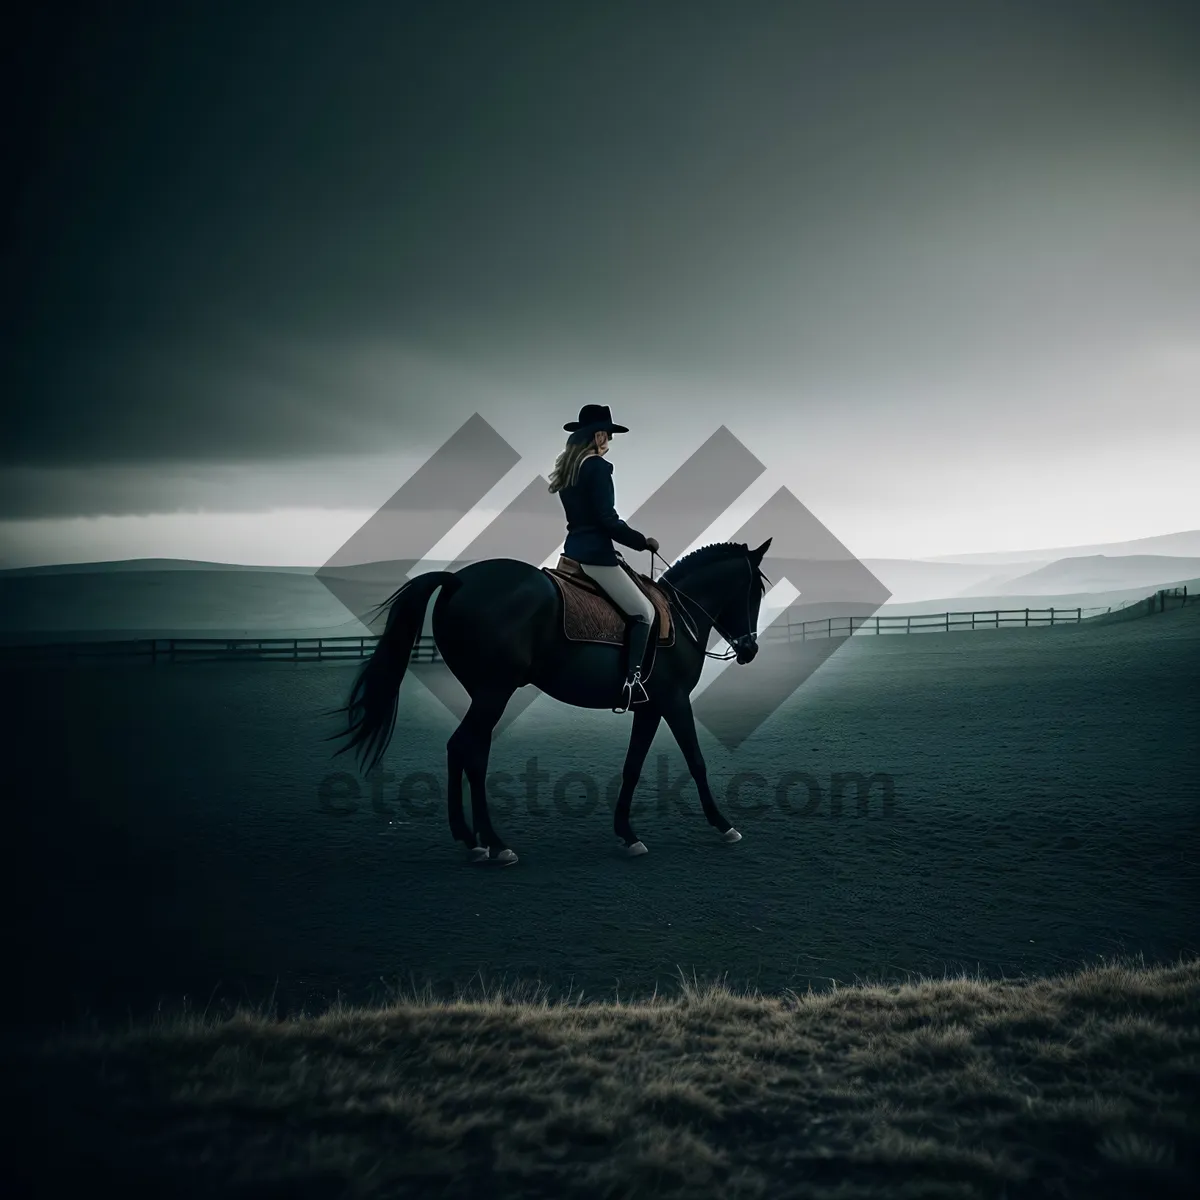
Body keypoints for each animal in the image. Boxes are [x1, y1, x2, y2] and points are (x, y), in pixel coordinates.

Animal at [324, 537, 772, 864]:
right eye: (754, 592)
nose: (750, 650)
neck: (679, 616)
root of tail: (459, 581)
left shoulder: (649, 706)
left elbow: (632, 766)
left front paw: (627, 834)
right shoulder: (675, 700)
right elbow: (696, 761)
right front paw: (724, 825)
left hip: (485, 692)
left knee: (468, 751)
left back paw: (475, 839)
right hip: (494, 690)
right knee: (466, 748)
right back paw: (492, 843)